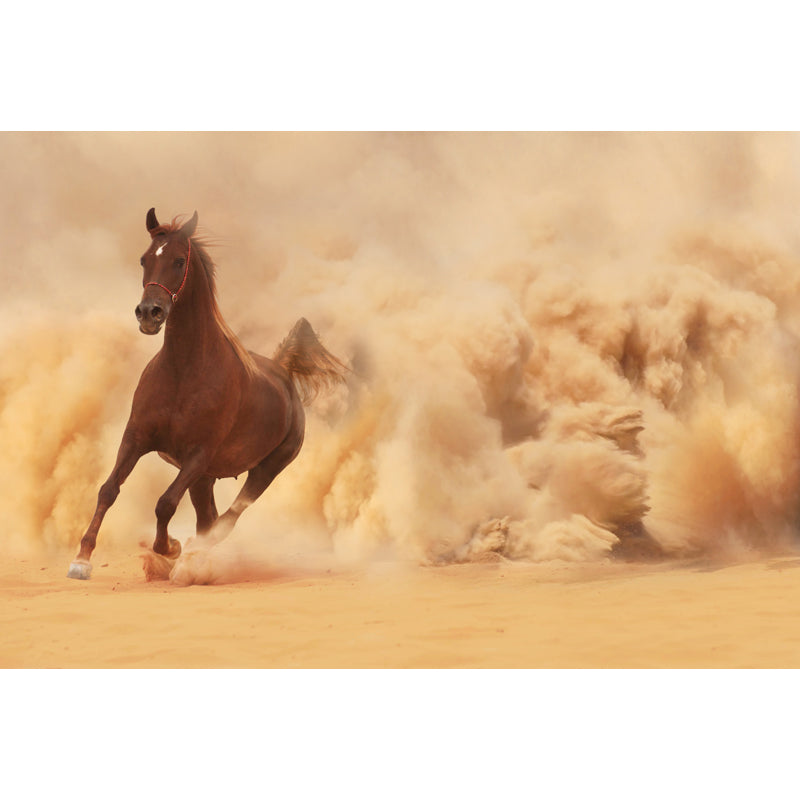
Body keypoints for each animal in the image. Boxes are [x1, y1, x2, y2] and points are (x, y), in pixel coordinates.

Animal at [67, 208, 347, 580]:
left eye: (179, 260)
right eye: (144, 259)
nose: (149, 313)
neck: (183, 371)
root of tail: (283, 372)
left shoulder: (198, 455)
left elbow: (165, 503)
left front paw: (170, 548)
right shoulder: (136, 438)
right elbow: (108, 490)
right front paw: (81, 560)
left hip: (266, 469)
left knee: (226, 520)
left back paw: (192, 558)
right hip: (206, 479)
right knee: (208, 518)